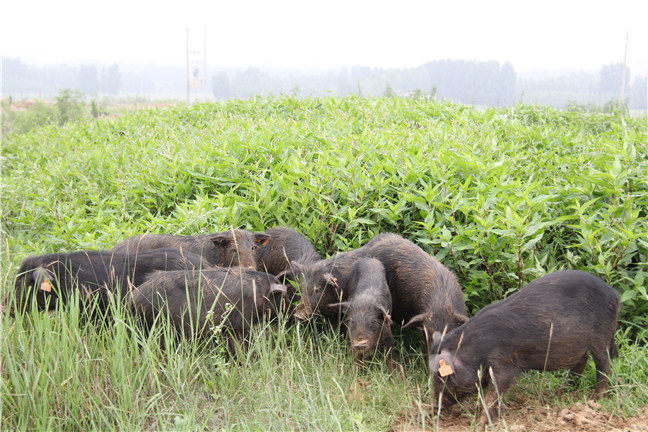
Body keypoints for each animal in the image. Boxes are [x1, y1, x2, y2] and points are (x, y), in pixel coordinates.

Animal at [428, 272, 620, 424]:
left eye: (441, 377)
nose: (434, 409)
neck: (476, 349)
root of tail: (615, 295)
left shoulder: (504, 362)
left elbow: (494, 393)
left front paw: (481, 422)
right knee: (582, 360)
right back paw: (561, 393)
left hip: (602, 334)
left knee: (603, 363)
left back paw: (598, 399)